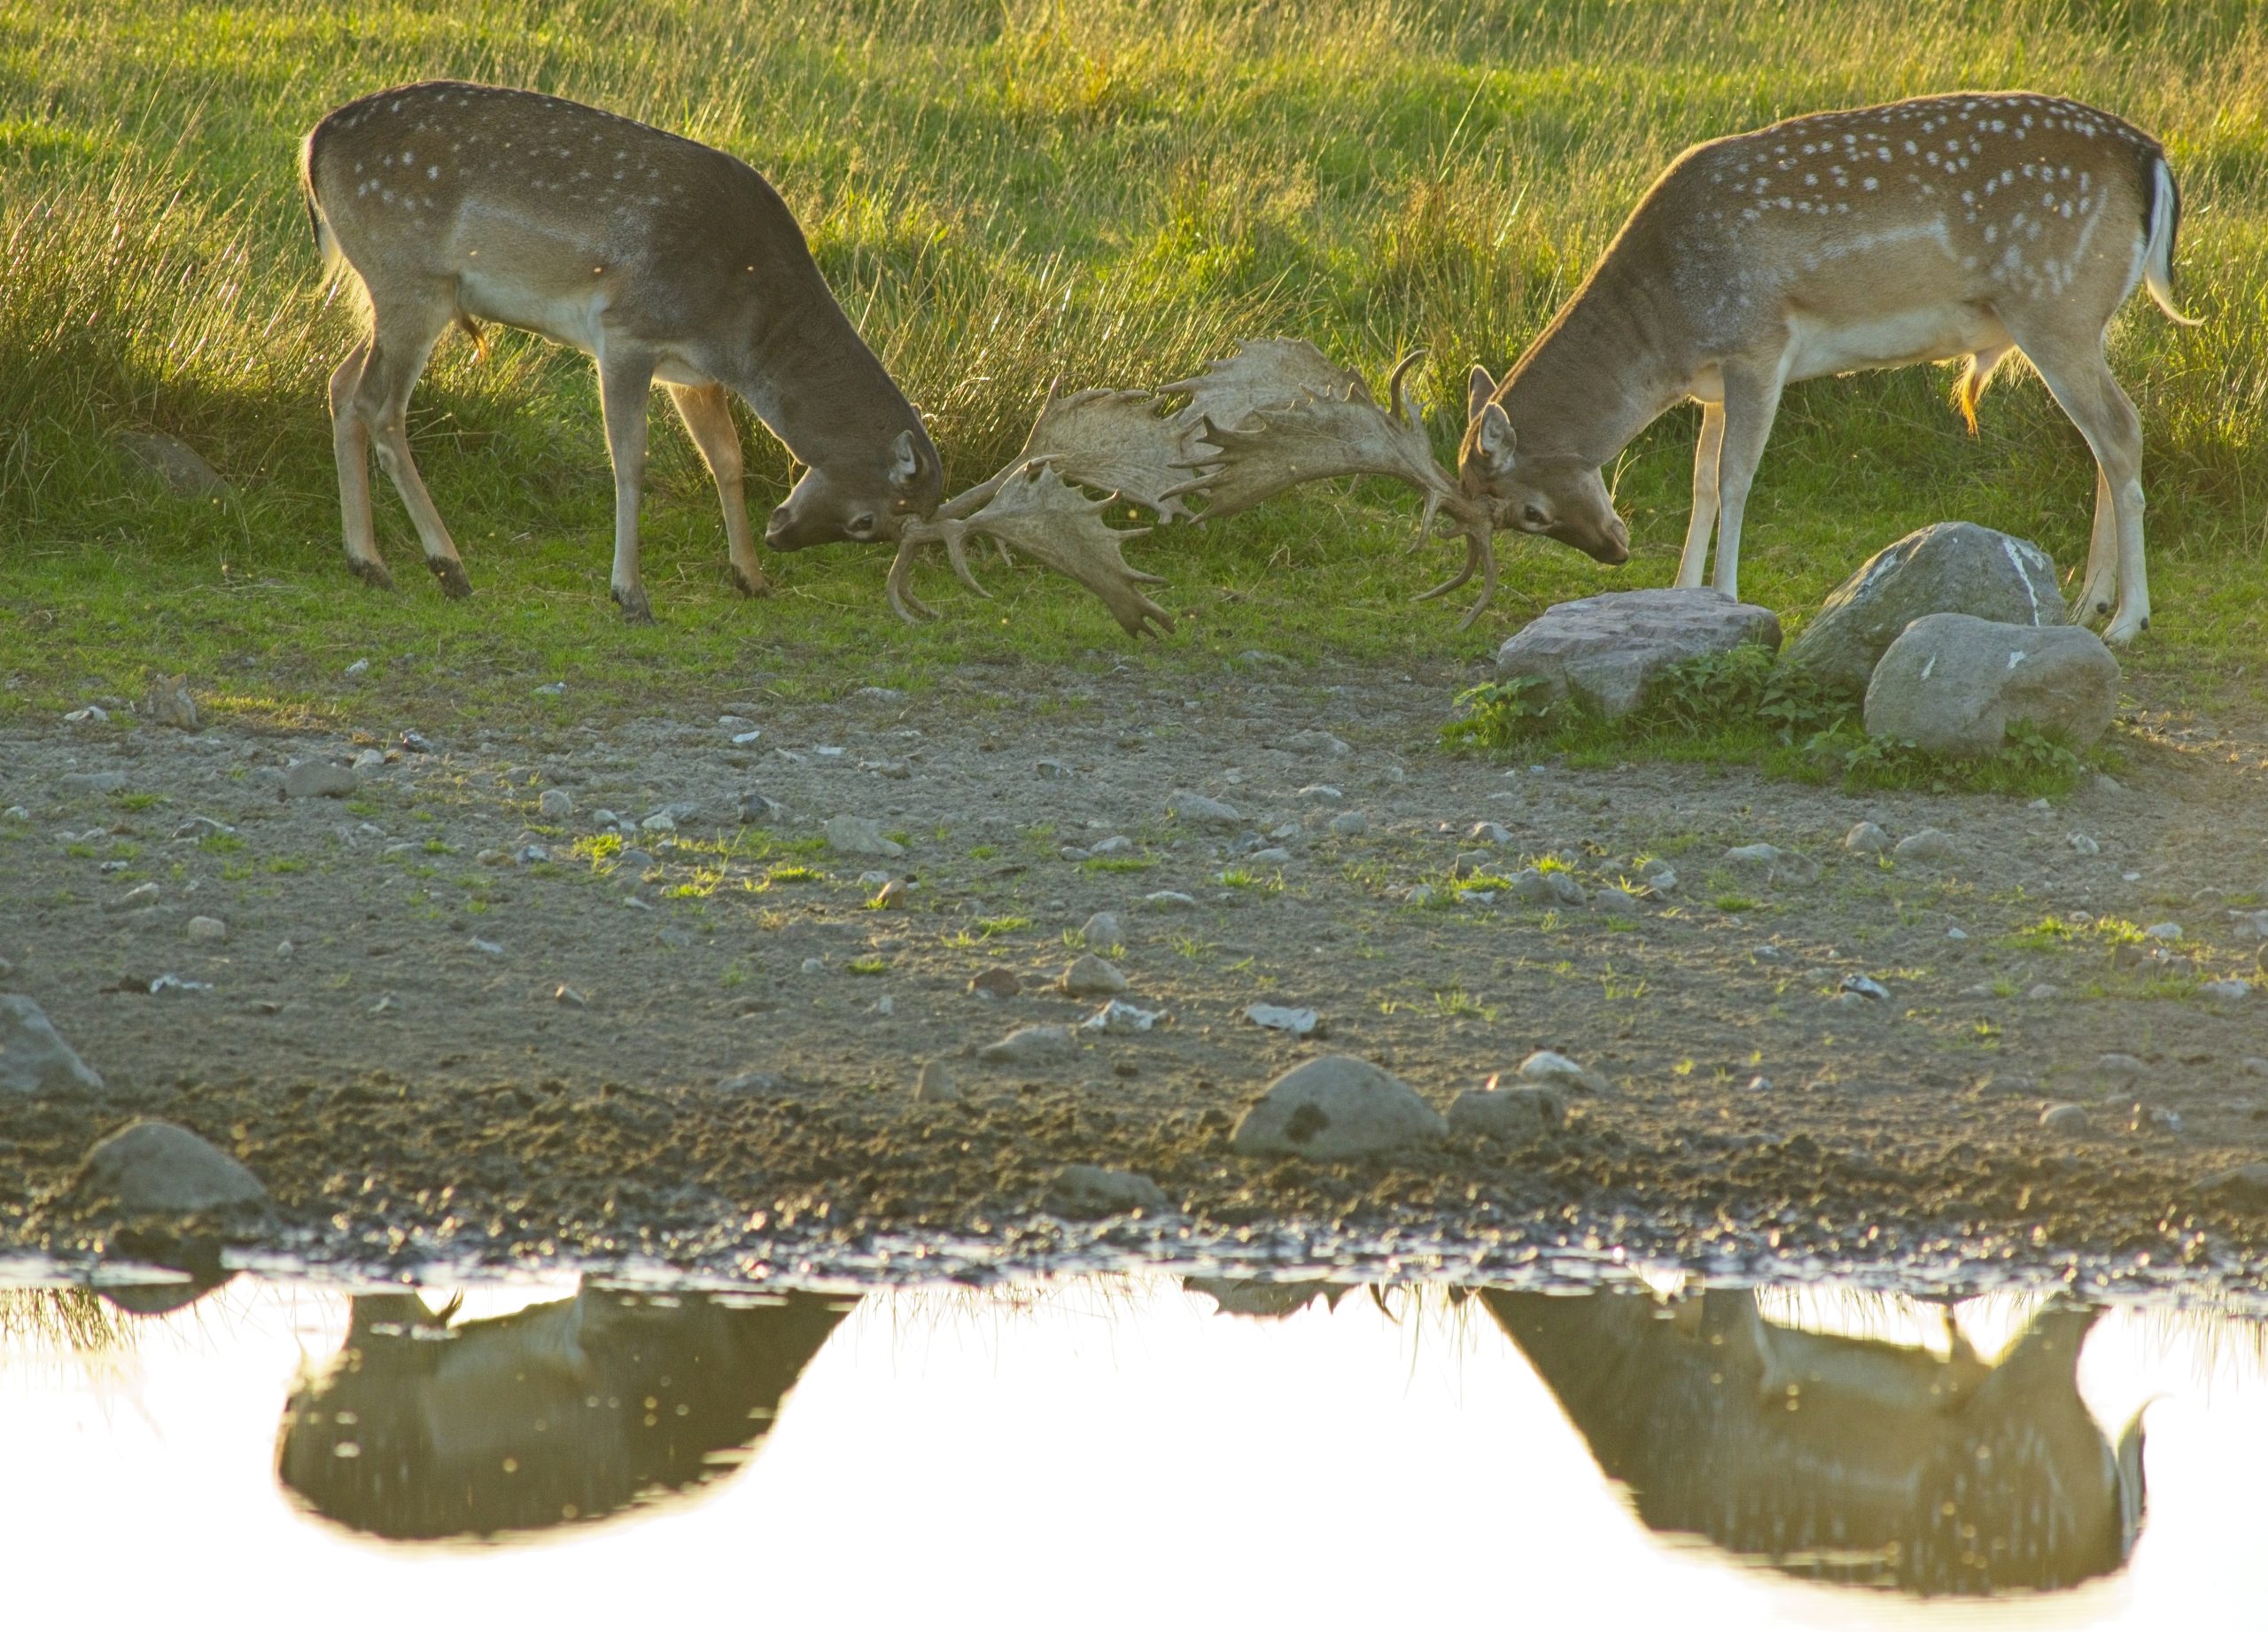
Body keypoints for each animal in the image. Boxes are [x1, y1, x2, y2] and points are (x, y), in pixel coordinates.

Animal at [299, 80, 955, 624]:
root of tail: (312, 144)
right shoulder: (627, 332)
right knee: (380, 406)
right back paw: (449, 568)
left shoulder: (694, 374)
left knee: (341, 384)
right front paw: (631, 595)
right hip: (412, 280)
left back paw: (370, 564)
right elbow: (630, 459)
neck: (744, 330)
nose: (781, 536)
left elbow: (727, 457)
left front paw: (751, 578)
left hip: (384, 289)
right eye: (867, 522)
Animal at [1455, 92, 2196, 644]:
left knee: (2122, 430)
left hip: (2054, 304)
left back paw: (2128, 620)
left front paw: (1726, 597)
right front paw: (1680, 593)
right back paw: (2087, 603)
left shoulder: (1758, 342)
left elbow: (1735, 478)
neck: (1666, 334)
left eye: (1529, 512)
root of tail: (2152, 157)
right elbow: (1700, 482)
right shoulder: (1714, 381)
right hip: (2085, 319)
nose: (1615, 551)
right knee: (2100, 442)